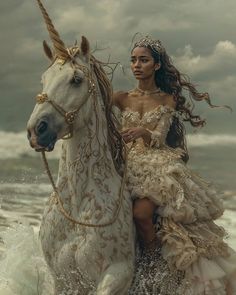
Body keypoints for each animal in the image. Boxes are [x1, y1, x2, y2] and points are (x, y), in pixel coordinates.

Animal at [26, 1, 135, 294]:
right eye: (43, 79)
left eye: (76, 79)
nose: (36, 130)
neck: (77, 203)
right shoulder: (62, 278)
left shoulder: (118, 273)